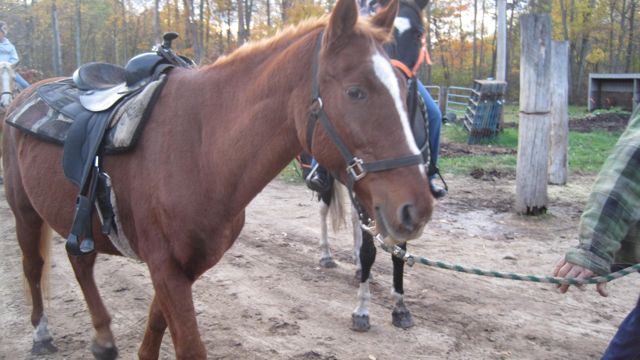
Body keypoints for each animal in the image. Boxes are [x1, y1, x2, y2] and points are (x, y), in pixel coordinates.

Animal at [2, 0, 432, 358]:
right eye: (355, 92)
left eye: (404, 88)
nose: (418, 208)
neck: (202, 147)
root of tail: (25, 94)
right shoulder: (166, 268)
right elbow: (188, 345)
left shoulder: (182, 268)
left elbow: (154, 332)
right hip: (25, 212)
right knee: (33, 266)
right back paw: (41, 334)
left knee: (81, 263)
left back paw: (104, 339)